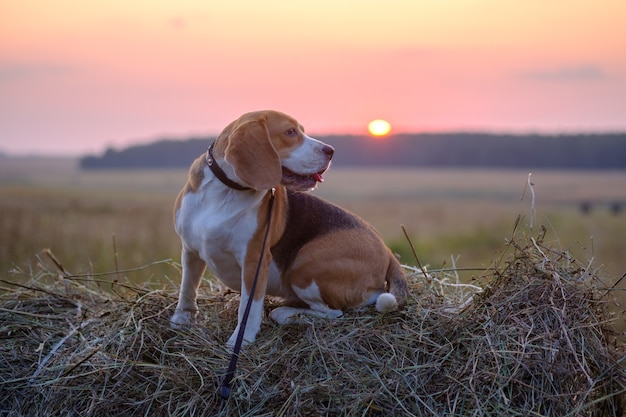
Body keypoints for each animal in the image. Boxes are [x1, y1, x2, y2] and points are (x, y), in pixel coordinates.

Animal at [169, 109, 410, 344]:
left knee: (335, 312)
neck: (225, 190)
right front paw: (181, 320)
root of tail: (387, 251)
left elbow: (248, 307)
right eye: (291, 132)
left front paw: (241, 340)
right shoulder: (190, 250)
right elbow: (187, 288)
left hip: (304, 265)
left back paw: (285, 313)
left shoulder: (254, 260)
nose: (331, 150)